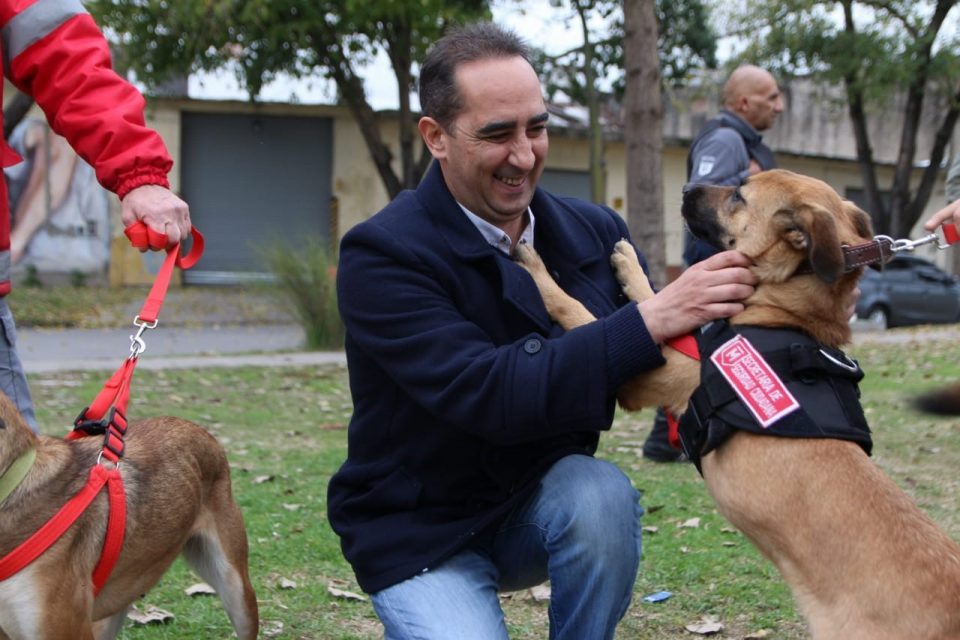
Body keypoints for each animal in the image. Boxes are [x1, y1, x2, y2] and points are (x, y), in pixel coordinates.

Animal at [516, 170, 960, 640]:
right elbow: (655, 300)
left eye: (739, 196)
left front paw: (536, 268)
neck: (783, 313)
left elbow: (588, 317)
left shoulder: (643, 376)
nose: (686, 186)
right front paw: (628, 262)